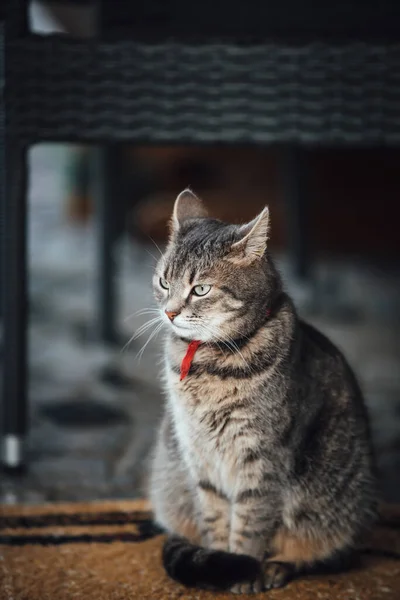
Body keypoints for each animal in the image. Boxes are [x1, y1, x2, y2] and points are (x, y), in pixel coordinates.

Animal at [148, 190, 378, 592]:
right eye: (163, 282)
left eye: (200, 289)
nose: (170, 312)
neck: (211, 363)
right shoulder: (199, 458)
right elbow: (215, 519)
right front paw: (221, 561)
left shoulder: (262, 460)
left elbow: (250, 525)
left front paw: (244, 568)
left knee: (322, 552)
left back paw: (276, 568)